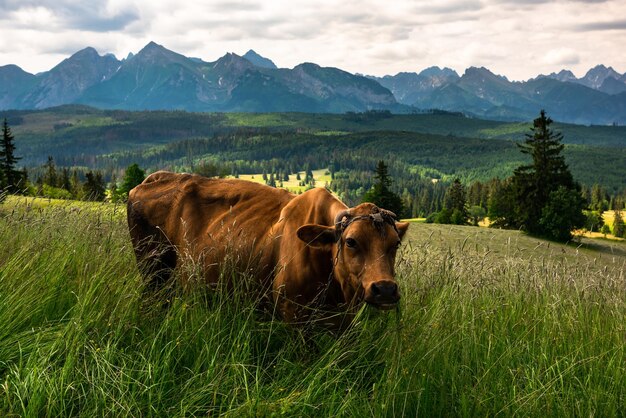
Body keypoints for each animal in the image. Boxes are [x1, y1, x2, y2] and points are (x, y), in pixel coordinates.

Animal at [128, 171, 410, 328]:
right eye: (351, 241)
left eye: (395, 243)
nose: (385, 289)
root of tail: (149, 180)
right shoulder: (292, 312)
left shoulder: (343, 318)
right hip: (153, 271)